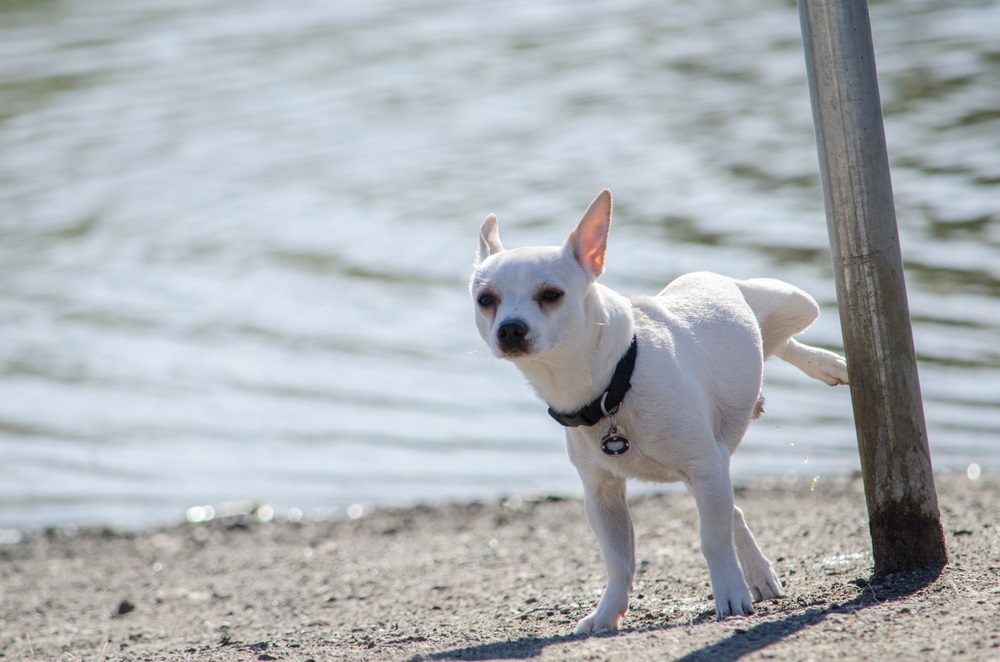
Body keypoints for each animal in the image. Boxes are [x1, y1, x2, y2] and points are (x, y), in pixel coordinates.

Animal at [468, 189, 844, 636]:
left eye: (551, 295)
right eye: (485, 301)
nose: (510, 328)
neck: (612, 385)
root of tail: (705, 278)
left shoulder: (703, 467)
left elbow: (712, 539)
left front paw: (729, 596)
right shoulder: (603, 493)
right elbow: (619, 560)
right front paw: (607, 613)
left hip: (795, 305)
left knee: (780, 335)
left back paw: (825, 364)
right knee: (732, 506)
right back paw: (759, 574)